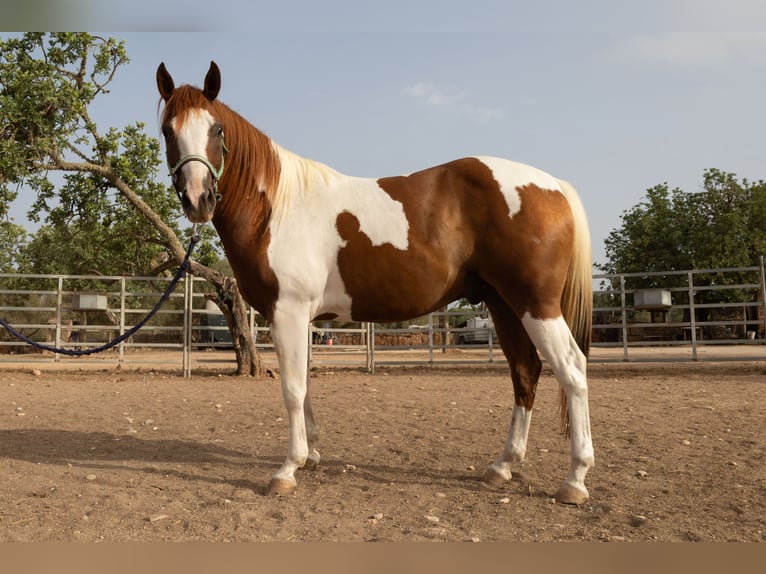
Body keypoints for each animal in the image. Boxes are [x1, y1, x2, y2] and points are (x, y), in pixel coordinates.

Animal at [156, 61, 595, 504]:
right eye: (167, 130)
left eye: (217, 130)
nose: (198, 199)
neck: (276, 209)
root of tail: (555, 185)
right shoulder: (303, 319)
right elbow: (306, 385)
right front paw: (311, 455)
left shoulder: (289, 312)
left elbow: (293, 389)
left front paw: (287, 469)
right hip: (504, 305)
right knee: (525, 372)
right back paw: (502, 466)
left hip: (536, 305)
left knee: (572, 370)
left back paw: (575, 479)